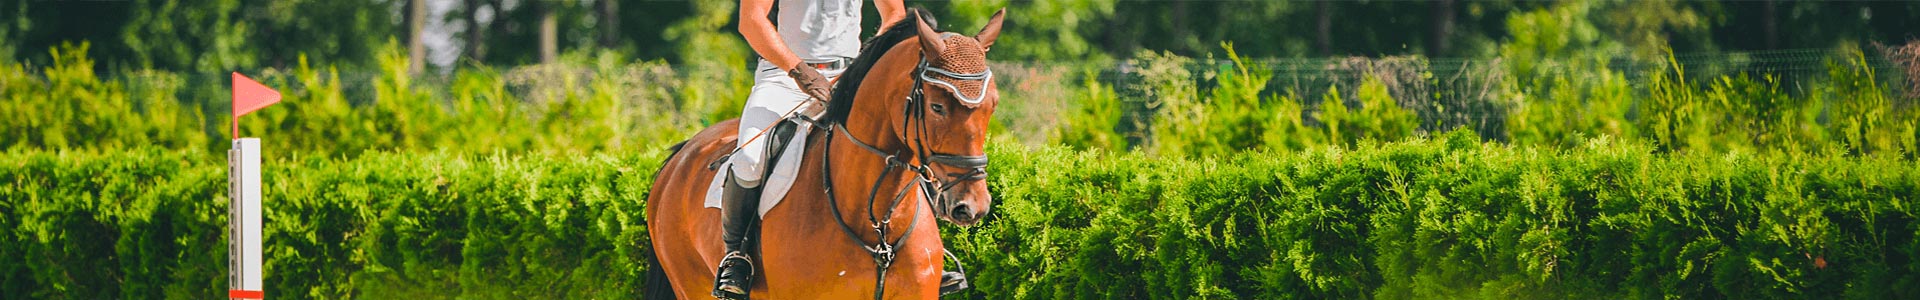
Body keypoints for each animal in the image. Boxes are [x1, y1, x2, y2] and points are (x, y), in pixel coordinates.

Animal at [641, 8, 1006, 298]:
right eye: (937, 107)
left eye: (992, 105)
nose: (972, 205)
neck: (876, 223)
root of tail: (682, 154)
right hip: (691, 285)